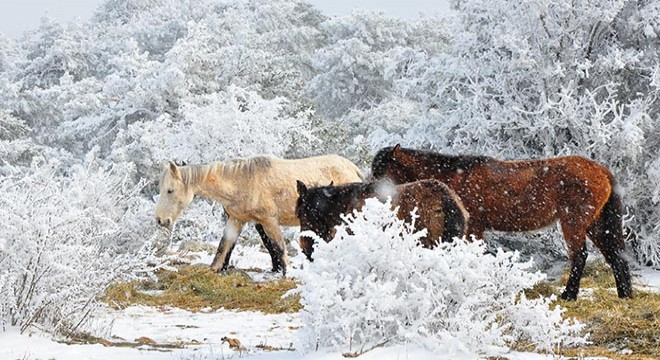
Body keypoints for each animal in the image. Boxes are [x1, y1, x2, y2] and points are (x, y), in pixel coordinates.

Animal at [154, 155, 364, 276]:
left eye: (170, 191)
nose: (160, 220)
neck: (242, 181)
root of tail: (353, 169)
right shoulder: (237, 220)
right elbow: (223, 247)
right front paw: (213, 270)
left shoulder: (269, 221)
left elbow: (279, 248)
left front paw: (287, 273)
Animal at [372, 145, 636, 300]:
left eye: (381, 171)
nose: (373, 196)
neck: (455, 176)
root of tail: (601, 171)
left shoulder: (474, 228)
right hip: (595, 225)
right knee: (615, 255)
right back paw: (624, 294)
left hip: (574, 222)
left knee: (580, 256)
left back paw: (568, 295)